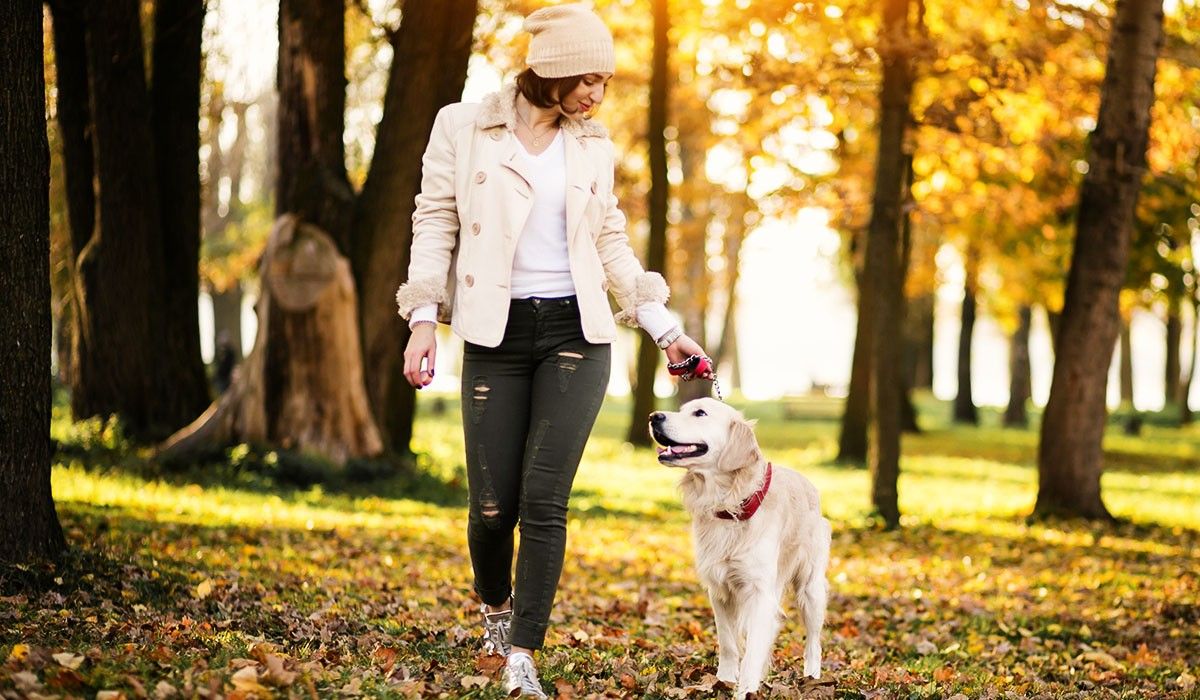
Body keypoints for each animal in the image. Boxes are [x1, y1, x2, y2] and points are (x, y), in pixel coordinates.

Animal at [648, 396, 835, 696]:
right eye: (682, 408)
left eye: (700, 413)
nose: (654, 417)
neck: (729, 504)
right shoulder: (720, 590)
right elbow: (728, 642)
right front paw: (723, 681)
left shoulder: (760, 594)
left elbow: (752, 652)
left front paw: (746, 690)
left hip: (811, 589)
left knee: (814, 643)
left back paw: (813, 678)